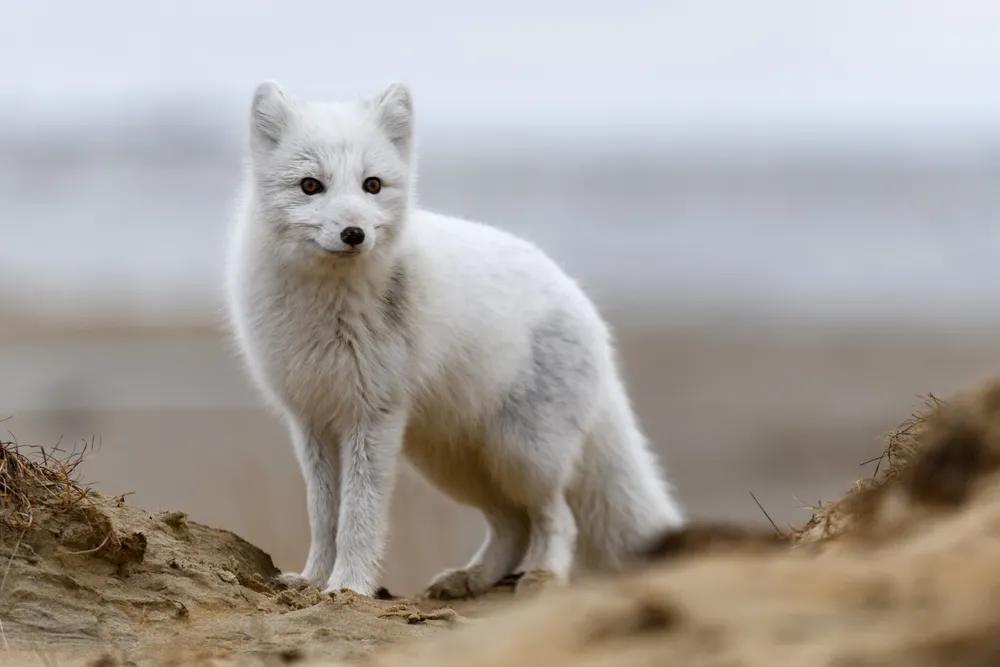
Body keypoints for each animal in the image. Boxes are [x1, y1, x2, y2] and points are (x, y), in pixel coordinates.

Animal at [224, 79, 685, 599]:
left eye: (372, 185)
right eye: (309, 185)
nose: (354, 232)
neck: (325, 306)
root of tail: (587, 309)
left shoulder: (372, 415)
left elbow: (359, 516)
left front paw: (349, 587)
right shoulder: (311, 420)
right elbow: (323, 515)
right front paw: (312, 579)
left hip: (522, 456)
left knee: (557, 517)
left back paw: (543, 576)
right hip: (452, 463)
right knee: (511, 525)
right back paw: (471, 579)